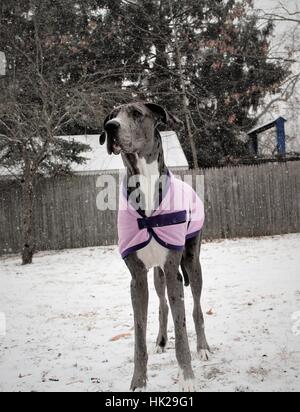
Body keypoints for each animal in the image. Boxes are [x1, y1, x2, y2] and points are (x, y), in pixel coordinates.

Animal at [99, 101, 210, 392]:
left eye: (137, 113)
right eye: (111, 115)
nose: (110, 127)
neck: (147, 184)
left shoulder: (173, 270)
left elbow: (182, 329)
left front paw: (187, 377)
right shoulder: (137, 278)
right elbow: (139, 335)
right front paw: (138, 381)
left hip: (191, 264)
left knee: (195, 307)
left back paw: (203, 347)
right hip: (158, 274)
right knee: (162, 305)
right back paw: (160, 341)